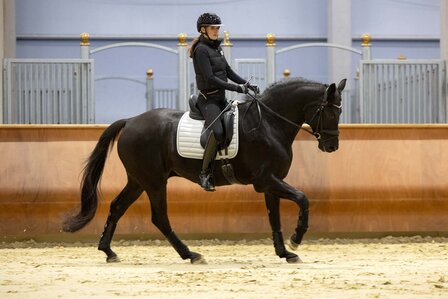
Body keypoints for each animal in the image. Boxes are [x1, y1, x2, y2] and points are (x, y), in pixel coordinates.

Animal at [62, 77, 346, 264]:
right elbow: (303, 198)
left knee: (117, 207)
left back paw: (108, 251)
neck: (268, 124)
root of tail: (130, 121)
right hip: (154, 182)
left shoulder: (271, 183)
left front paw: (285, 252)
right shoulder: (265, 180)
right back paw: (190, 254)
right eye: (331, 113)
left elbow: (273, 217)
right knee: (159, 218)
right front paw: (296, 238)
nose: (332, 146)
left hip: (138, 180)